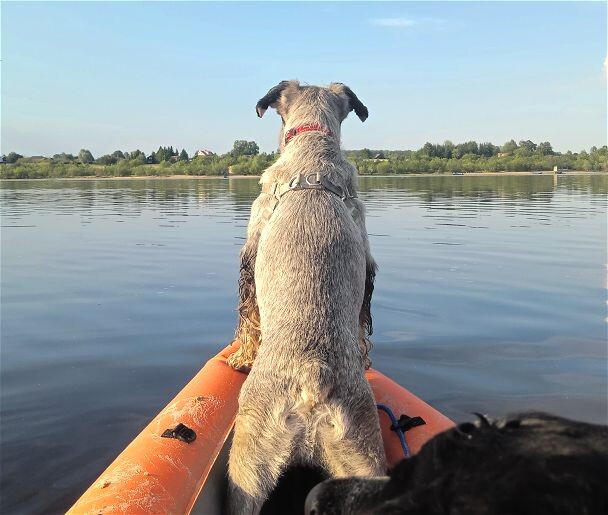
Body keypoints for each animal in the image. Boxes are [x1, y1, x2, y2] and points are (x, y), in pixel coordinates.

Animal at [226, 80, 388, 512]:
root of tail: (312, 380)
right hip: (362, 460)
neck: (313, 154)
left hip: (246, 466)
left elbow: (248, 319)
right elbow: (363, 324)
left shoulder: (249, 254)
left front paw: (240, 357)